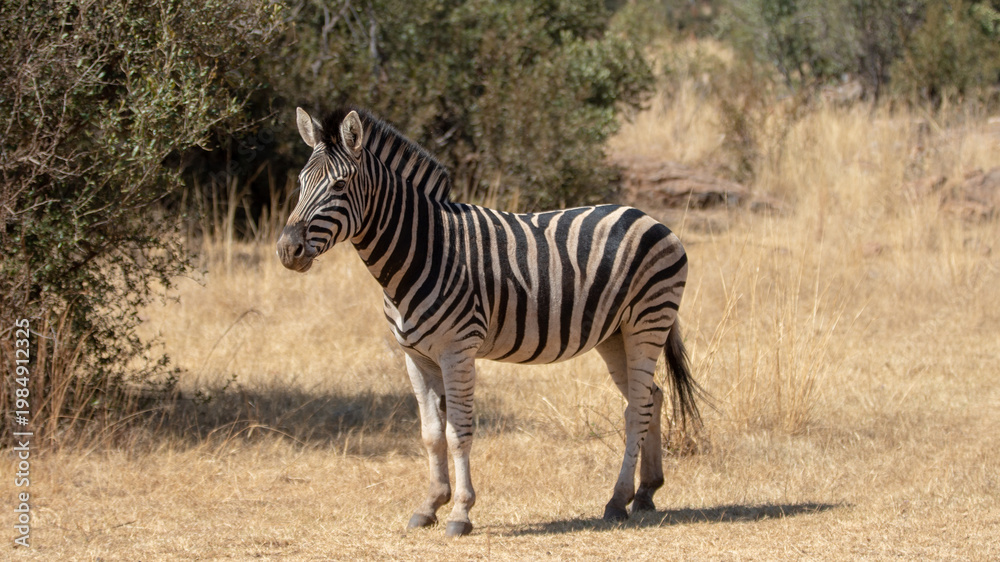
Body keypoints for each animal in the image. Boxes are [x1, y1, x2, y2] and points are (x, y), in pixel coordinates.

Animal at [277, 107, 703, 537]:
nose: (287, 249)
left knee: (637, 409)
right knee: (651, 397)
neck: (425, 249)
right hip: (613, 335)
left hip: (647, 321)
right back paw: (646, 491)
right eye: (300, 183)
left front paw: (460, 513)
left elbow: (458, 432)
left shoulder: (457, 351)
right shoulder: (415, 357)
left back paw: (618, 501)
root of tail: (648, 217)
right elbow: (430, 434)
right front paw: (430, 505)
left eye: (339, 185)